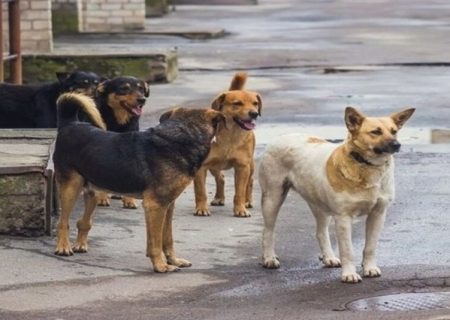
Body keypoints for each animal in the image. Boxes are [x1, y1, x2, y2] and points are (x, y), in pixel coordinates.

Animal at [52, 92, 225, 272]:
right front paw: (161, 266)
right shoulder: (155, 205)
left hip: (93, 191)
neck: (183, 136)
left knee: (83, 222)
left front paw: (173, 260)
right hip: (71, 188)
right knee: (63, 222)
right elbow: (156, 242)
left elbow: (167, 238)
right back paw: (63, 247)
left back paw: (80, 244)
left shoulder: (168, 205)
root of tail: (70, 124)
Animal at [92, 76, 149, 209]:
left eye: (141, 88)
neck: (119, 122)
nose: (142, 99)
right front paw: (102, 198)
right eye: (124, 88)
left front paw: (129, 200)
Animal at [192, 72, 262, 218]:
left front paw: (240, 209)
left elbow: (239, 192)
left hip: (250, 166)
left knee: (250, 182)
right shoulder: (201, 167)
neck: (230, 135)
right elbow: (201, 191)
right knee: (221, 178)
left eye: (255, 103)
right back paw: (219, 198)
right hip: (214, 166)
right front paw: (201, 208)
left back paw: (247, 201)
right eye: (237, 103)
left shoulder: (242, 167)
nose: (254, 113)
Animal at [260, 107, 414, 282]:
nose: (397, 145)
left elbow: (370, 247)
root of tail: (282, 136)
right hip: (272, 199)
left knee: (321, 232)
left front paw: (369, 268)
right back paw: (269, 258)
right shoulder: (343, 218)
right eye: (376, 132)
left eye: (394, 131)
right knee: (268, 231)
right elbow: (348, 250)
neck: (365, 165)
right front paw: (349, 274)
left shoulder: (378, 214)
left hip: (319, 204)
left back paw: (329, 257)